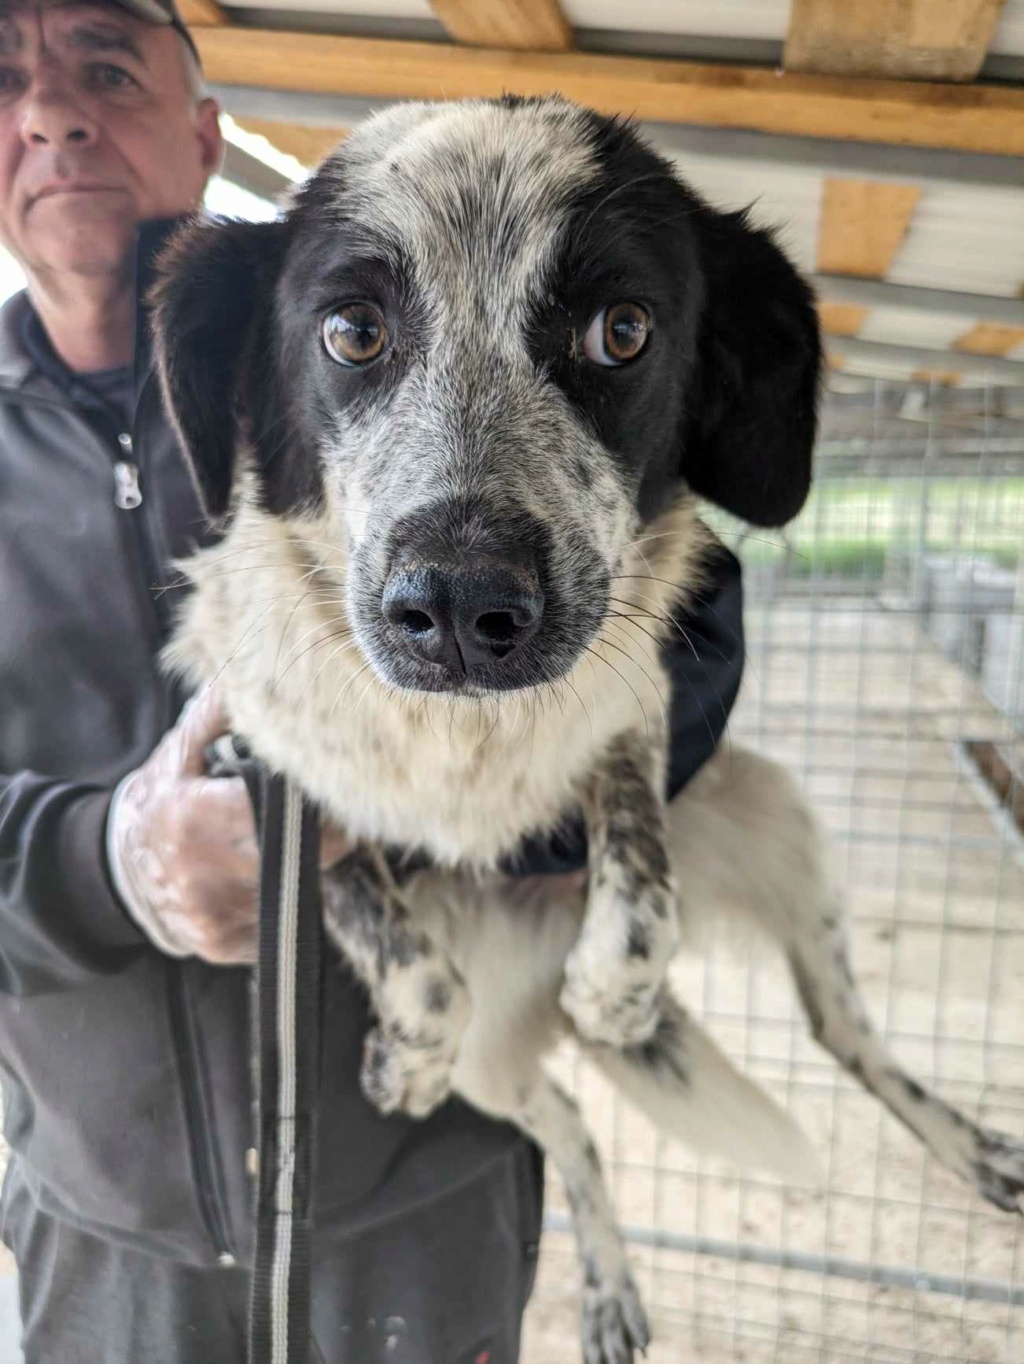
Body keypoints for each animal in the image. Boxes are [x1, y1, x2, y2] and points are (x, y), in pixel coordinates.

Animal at [152, 98, 1024, 1364]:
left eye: (623, 330)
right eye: (352, 330)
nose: (460, 607)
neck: (464, 736)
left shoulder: (638, 709)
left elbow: (638, 889)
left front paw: (616, 996)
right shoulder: (267, 776)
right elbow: (409, 962)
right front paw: (401, 1059)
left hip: (777, 811)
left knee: (841, 1033)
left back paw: (974, 1148)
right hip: (508, 1053)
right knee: (565, 1116)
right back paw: (604, 1272)